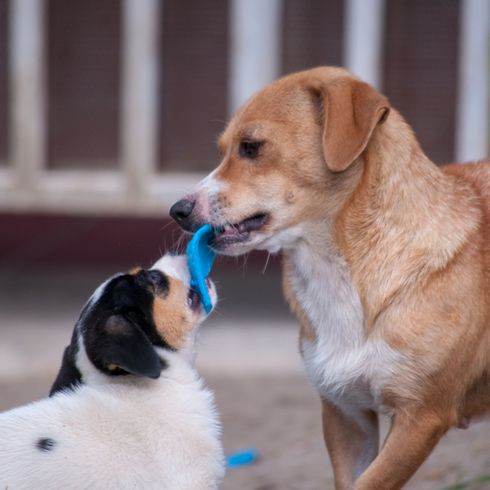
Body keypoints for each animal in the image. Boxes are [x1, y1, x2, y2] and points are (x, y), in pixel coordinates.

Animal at [169, 66, 490, 490]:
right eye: (224, 149)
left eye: (251, 147)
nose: (177, 210)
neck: (336, 271)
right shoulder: (345, 413)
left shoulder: (420, 419)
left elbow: (371, 483)